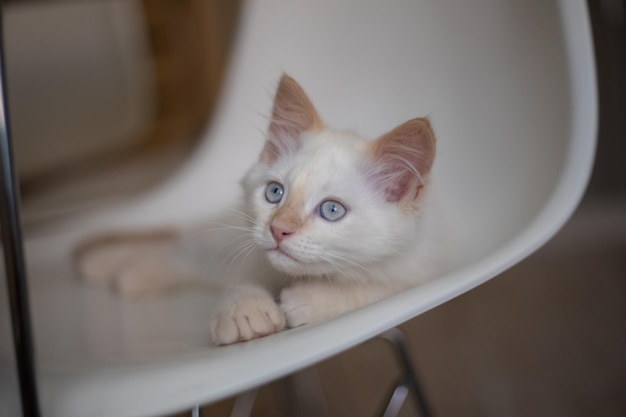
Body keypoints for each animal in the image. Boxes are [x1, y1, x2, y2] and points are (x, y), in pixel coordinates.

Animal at [77, 74, 438, 344]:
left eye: (331, 211)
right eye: (274, 193)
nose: (278, 229)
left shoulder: (425, 268)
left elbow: (379, 288)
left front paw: (313, 299)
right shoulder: (249, 257)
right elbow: (241, 280)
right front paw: (243, 310)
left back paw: (125, 274)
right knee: (180, 251)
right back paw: (108, 266)